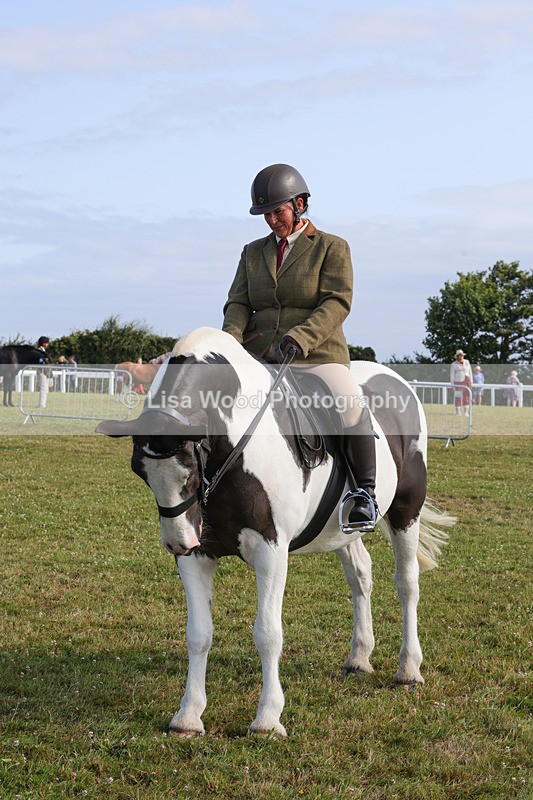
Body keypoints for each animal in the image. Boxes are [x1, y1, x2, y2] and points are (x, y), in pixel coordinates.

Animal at [97, 326, 455, 737]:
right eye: (140, 472)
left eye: (190, 468)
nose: (177, 542)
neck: (234, 445)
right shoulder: (198, 556)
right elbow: (198, 634)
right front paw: (188, 716)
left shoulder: (270, 551)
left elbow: (267, 633)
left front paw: (267, 718)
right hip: (341, 528)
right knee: (360, 576)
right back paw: (359, 657)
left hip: (406, 511)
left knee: (407, 583)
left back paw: (409, 668)